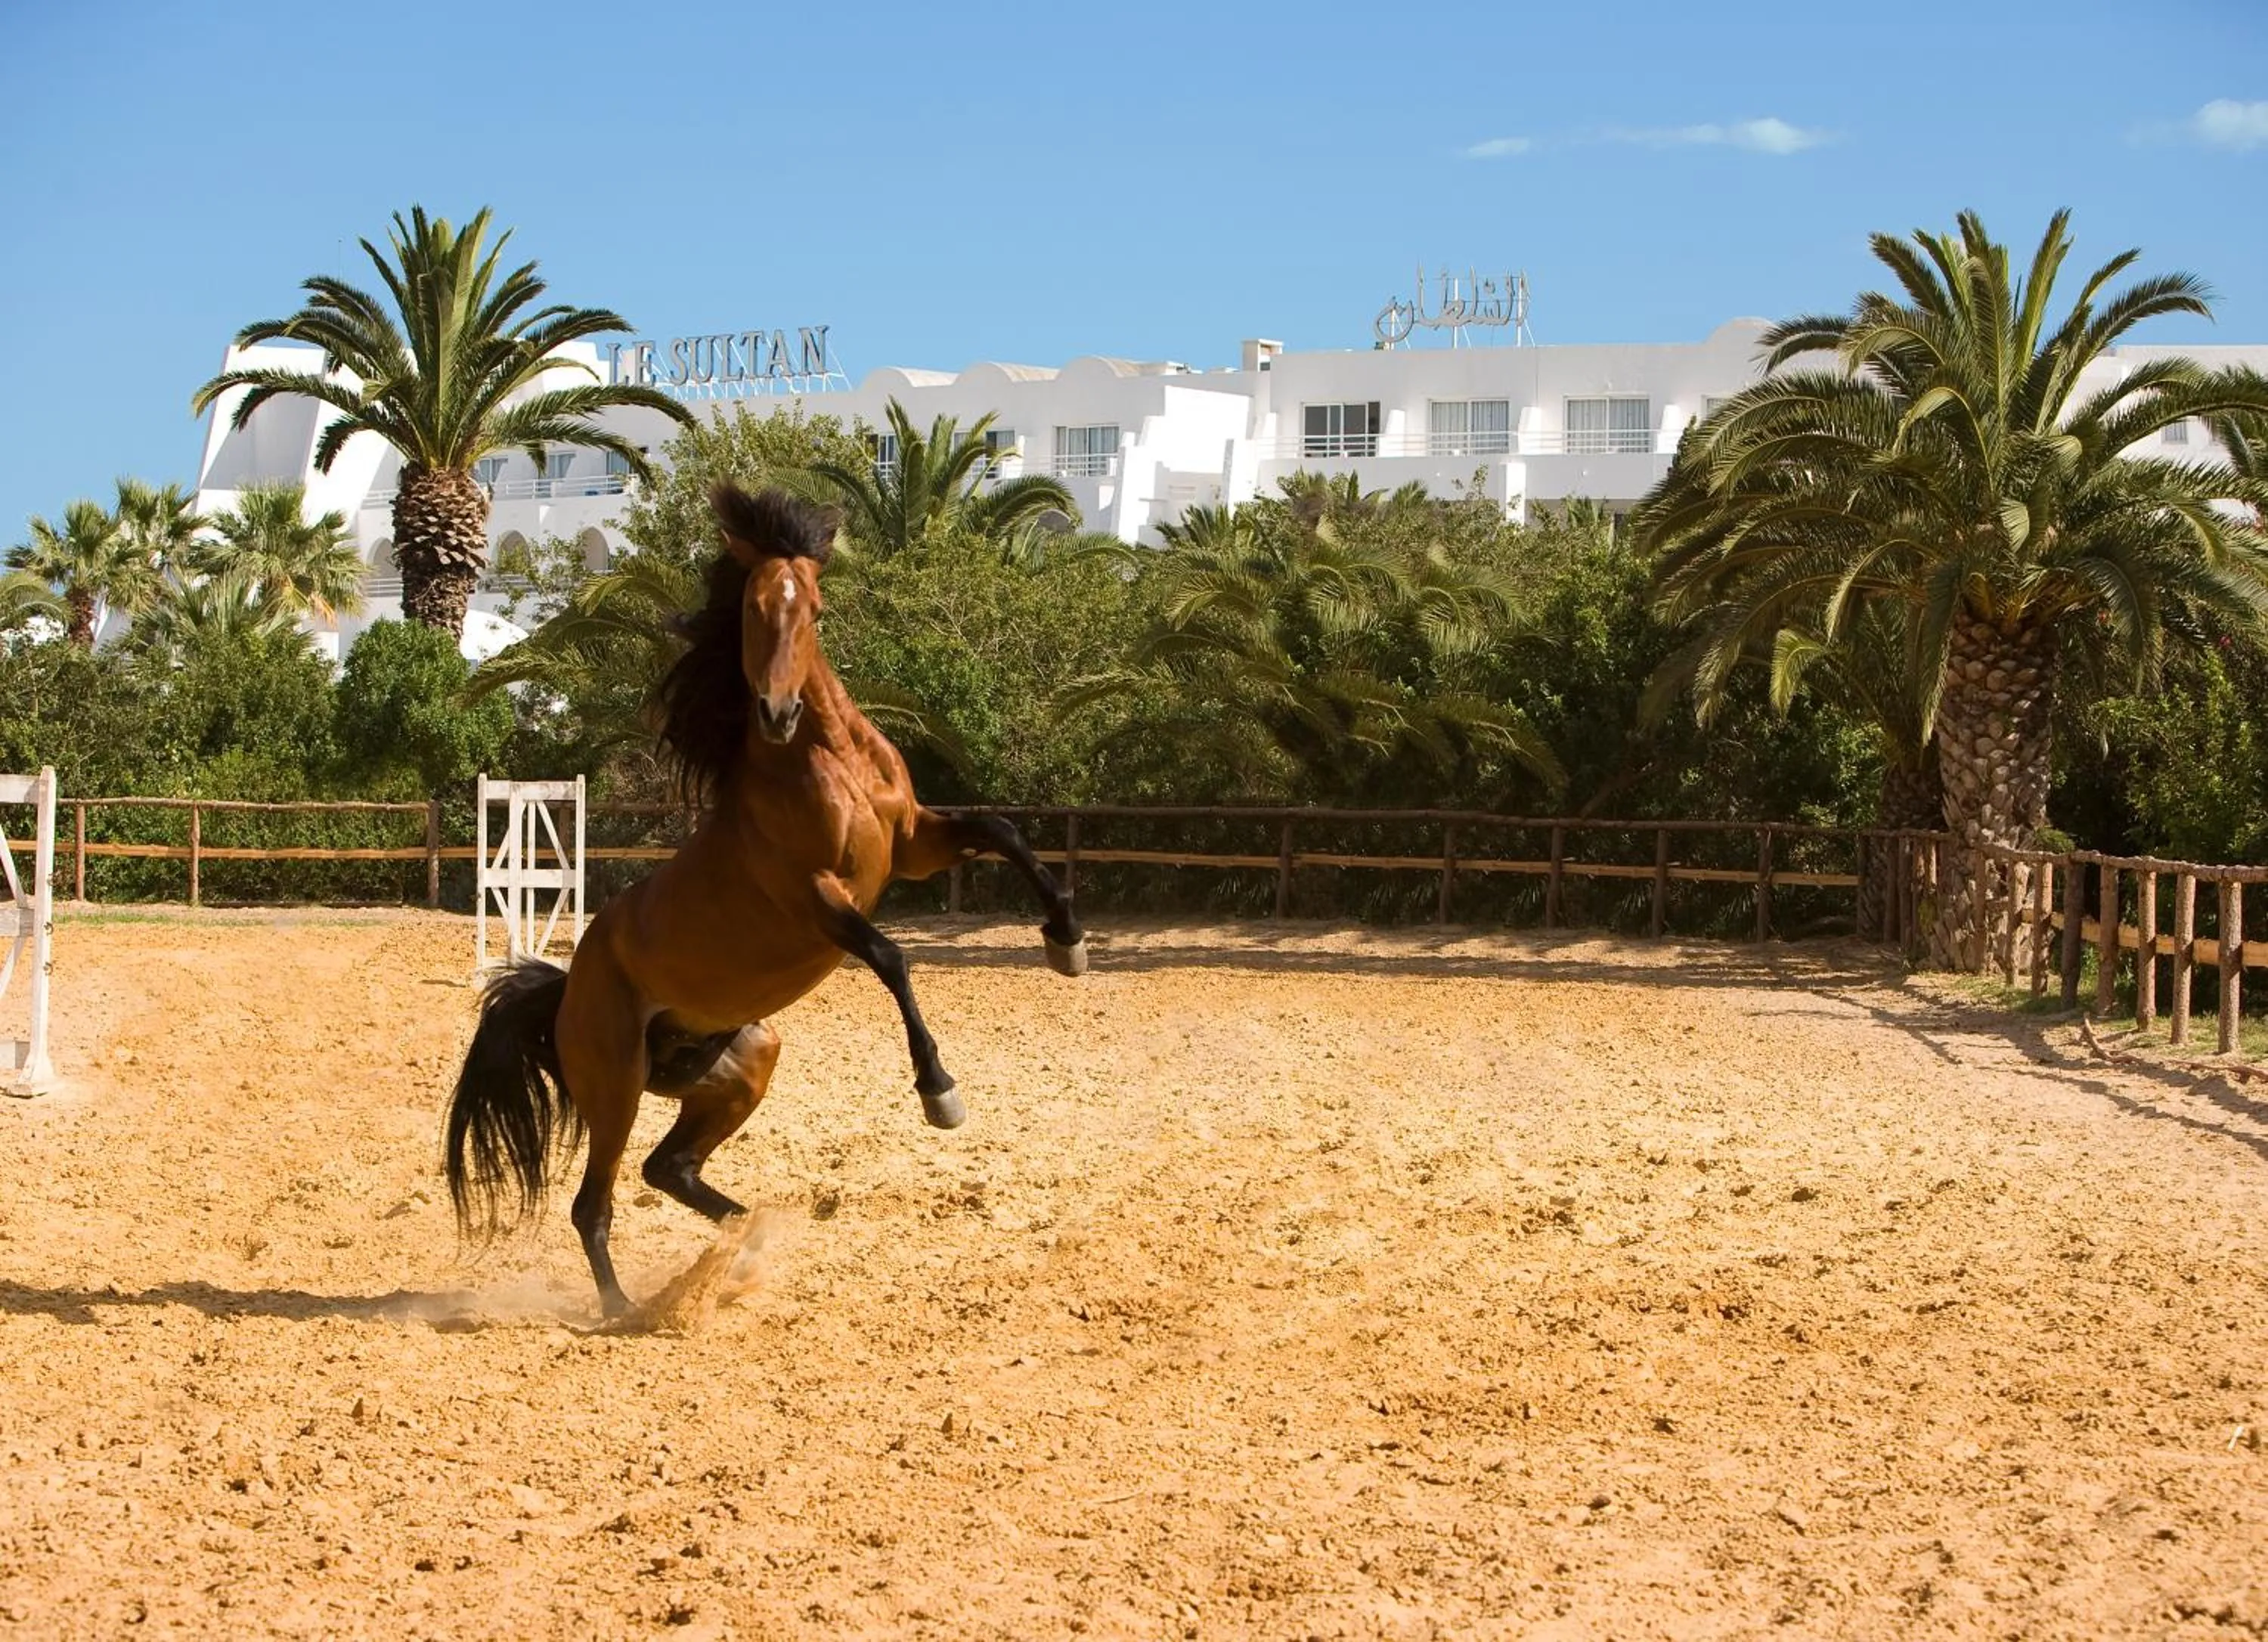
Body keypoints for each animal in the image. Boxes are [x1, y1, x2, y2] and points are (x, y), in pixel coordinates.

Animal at [443, 483, 1088, 1315]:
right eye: (750, 609)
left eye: (813, 607)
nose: (778, 713)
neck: (827, 760)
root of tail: (562, 996)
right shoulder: (815, 898)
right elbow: (891, 956)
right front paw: (939, 1092)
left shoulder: (914, 842)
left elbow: (1003, 831)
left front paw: (1067, 941)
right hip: (616, 1088)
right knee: (595, 1204)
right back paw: (628, 1311)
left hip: (741, 1060)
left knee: (668, 1169)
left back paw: (743, 1239)